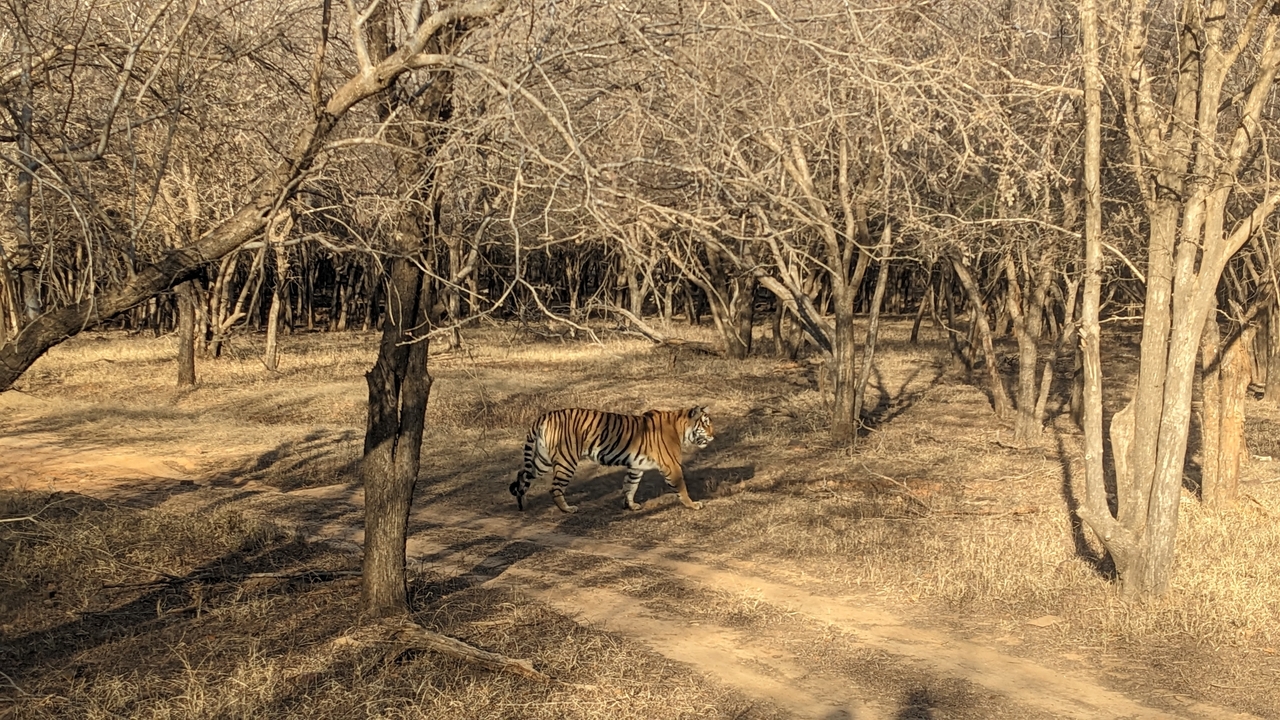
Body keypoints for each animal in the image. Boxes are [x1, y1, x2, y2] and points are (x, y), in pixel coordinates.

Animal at [509, 406, 715, 513]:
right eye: (705, 424)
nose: (713, 436)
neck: (680, 428)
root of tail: (544, 416)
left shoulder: (635, 466)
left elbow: (630, 486)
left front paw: (631, 505)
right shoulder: (672, 466)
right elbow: (681, 487)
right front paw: (693, 504)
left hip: (541, 460)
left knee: (522, 474)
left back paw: (523, 503)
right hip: (566, 460)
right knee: (554, 488)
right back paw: (567, 509)